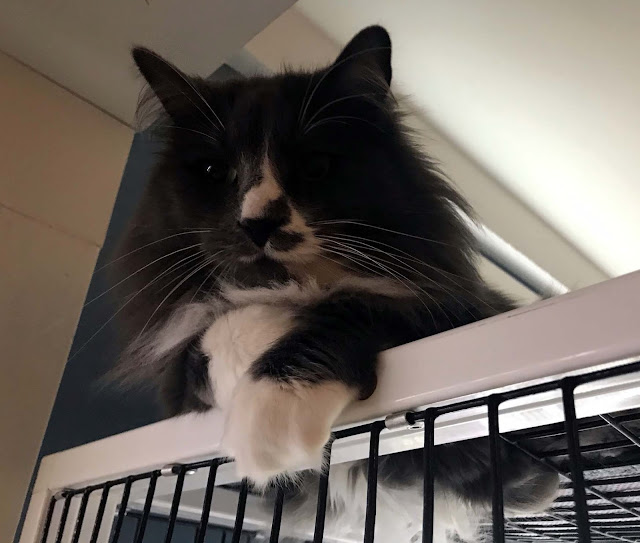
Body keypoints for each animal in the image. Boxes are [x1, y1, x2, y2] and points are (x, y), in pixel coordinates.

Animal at [111, 25, 558, 542]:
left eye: (315, 166)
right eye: (213, 172)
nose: (258, 222)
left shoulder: (460, 316)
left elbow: (356, 304)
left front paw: (270, 418)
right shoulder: (178, 380)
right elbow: (220, 330)